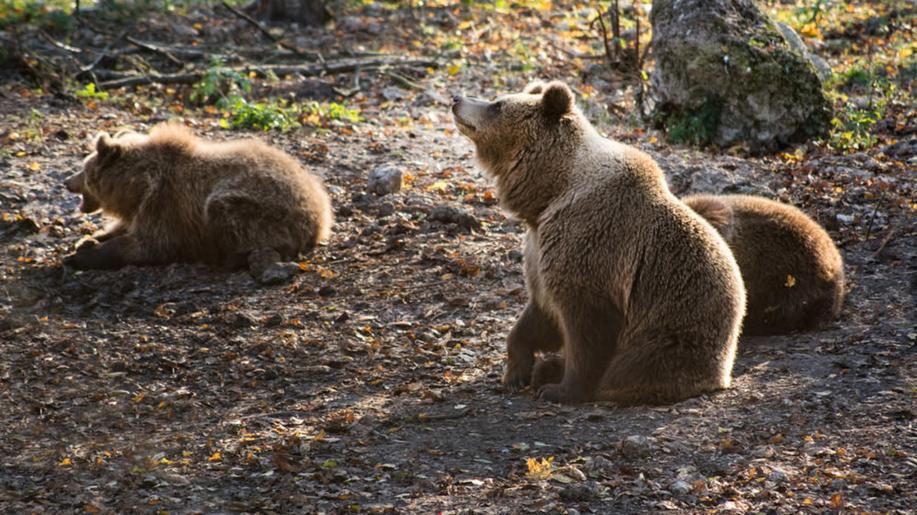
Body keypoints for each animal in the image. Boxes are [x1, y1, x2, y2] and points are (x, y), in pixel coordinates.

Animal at [64, 123, 330, 274]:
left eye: (83, 168)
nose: (66, 180)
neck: (138, 186)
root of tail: (323, 214)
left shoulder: (168, 204)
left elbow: (150, 244)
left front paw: (81, 256)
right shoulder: (142, 209)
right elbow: (122, 229)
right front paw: (87, 240)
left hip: (261, 208)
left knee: (226, 214)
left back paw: (233, 258)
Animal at [450, 80, 744, 406]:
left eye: (497, 104)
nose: (457, 99)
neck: (551, 192)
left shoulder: (592, 243)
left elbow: (586, 327)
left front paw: (562, 390)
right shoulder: (539, 248)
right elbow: (539, 312)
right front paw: (517, 373)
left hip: (671, 330)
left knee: (636, 365)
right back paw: (547, 368)